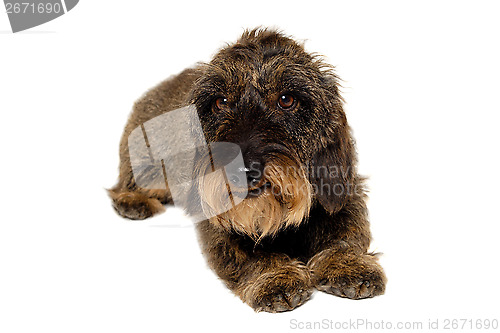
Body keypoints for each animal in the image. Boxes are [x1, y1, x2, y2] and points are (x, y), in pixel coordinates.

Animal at [110, 28, 386, 312]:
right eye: (220, 102)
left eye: (286, 99)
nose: (242, 169)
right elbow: (249, 251)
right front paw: (276, 276)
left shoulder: (345, 190)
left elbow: (347, 229)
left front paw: (346, 263)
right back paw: (132, 199)